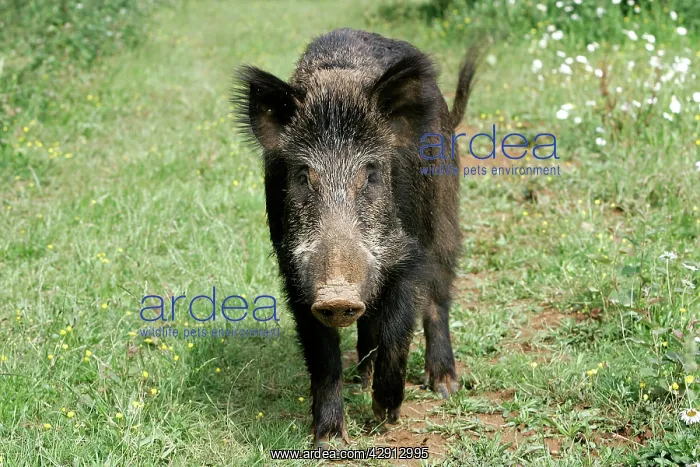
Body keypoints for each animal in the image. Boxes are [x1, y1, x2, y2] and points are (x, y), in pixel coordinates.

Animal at [232, 28, 481, 449]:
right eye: (303, 175)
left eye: (371, 173)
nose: (337, 297)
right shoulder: (295, 271)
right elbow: (322, 357)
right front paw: (330, 440)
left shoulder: (407, 254)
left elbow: (398, 330)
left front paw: (385, 417)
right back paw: (360, 379)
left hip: (444, 215)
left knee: (438, 296)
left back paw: (445, 386)